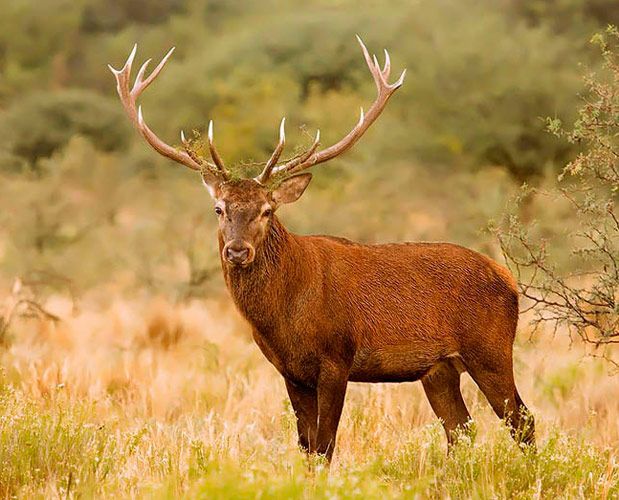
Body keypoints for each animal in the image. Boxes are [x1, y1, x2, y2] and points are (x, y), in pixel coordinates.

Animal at [110, 38, 532, 460]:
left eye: (268, 209)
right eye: (219, 208)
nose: (237, 251)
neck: (285, 316)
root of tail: (509, 280)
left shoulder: (336, 358)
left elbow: (325, 445)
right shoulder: (289, 371)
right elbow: (305, 445)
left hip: (490, 349)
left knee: (522, 421)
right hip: (439, 369)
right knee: (461, 430)